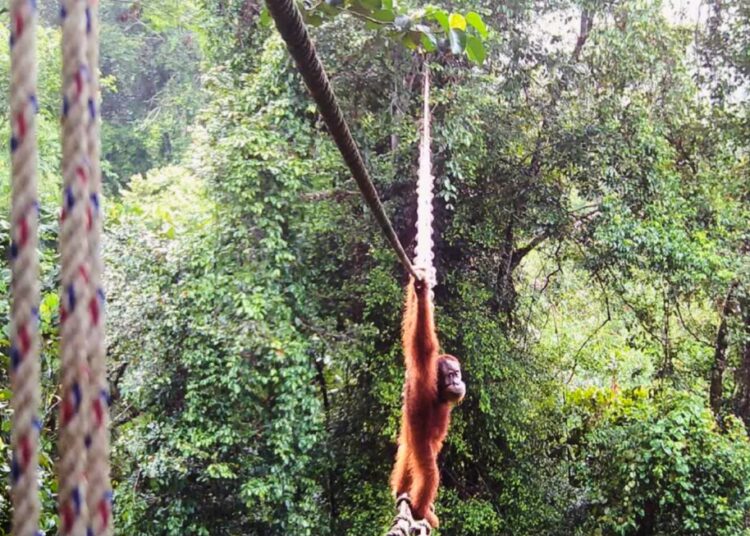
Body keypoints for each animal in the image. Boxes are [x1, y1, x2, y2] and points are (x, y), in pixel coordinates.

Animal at [390, 269, 466, 528]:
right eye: (451, 375)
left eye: (457, 374)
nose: (458, 382)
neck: (439, 392)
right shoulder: (424, 374)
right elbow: (422, 343)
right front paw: (422, 295)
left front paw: (418, 289)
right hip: (419, 444)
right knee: (429, 473)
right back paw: (420, 509)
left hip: (409, 440)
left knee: (406, 457)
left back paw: (401, 492)